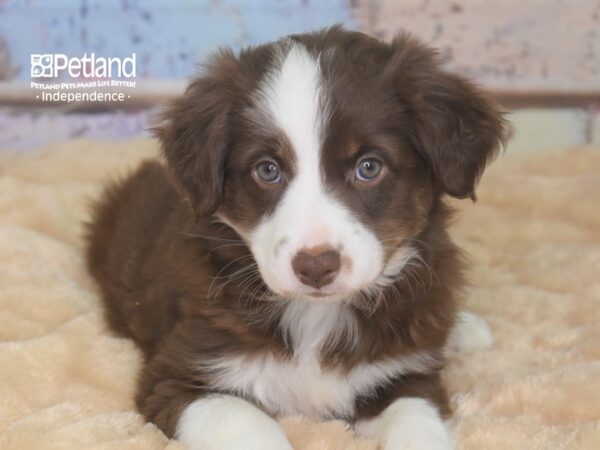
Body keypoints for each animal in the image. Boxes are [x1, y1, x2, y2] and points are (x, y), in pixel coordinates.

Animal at [85, 27, 506, 450]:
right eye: (267, 170)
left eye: (369, 167)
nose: (316, 266)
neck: (316, 318)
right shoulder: (181, 375)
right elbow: (249, 423)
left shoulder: (406, 375)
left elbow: (417, 425)